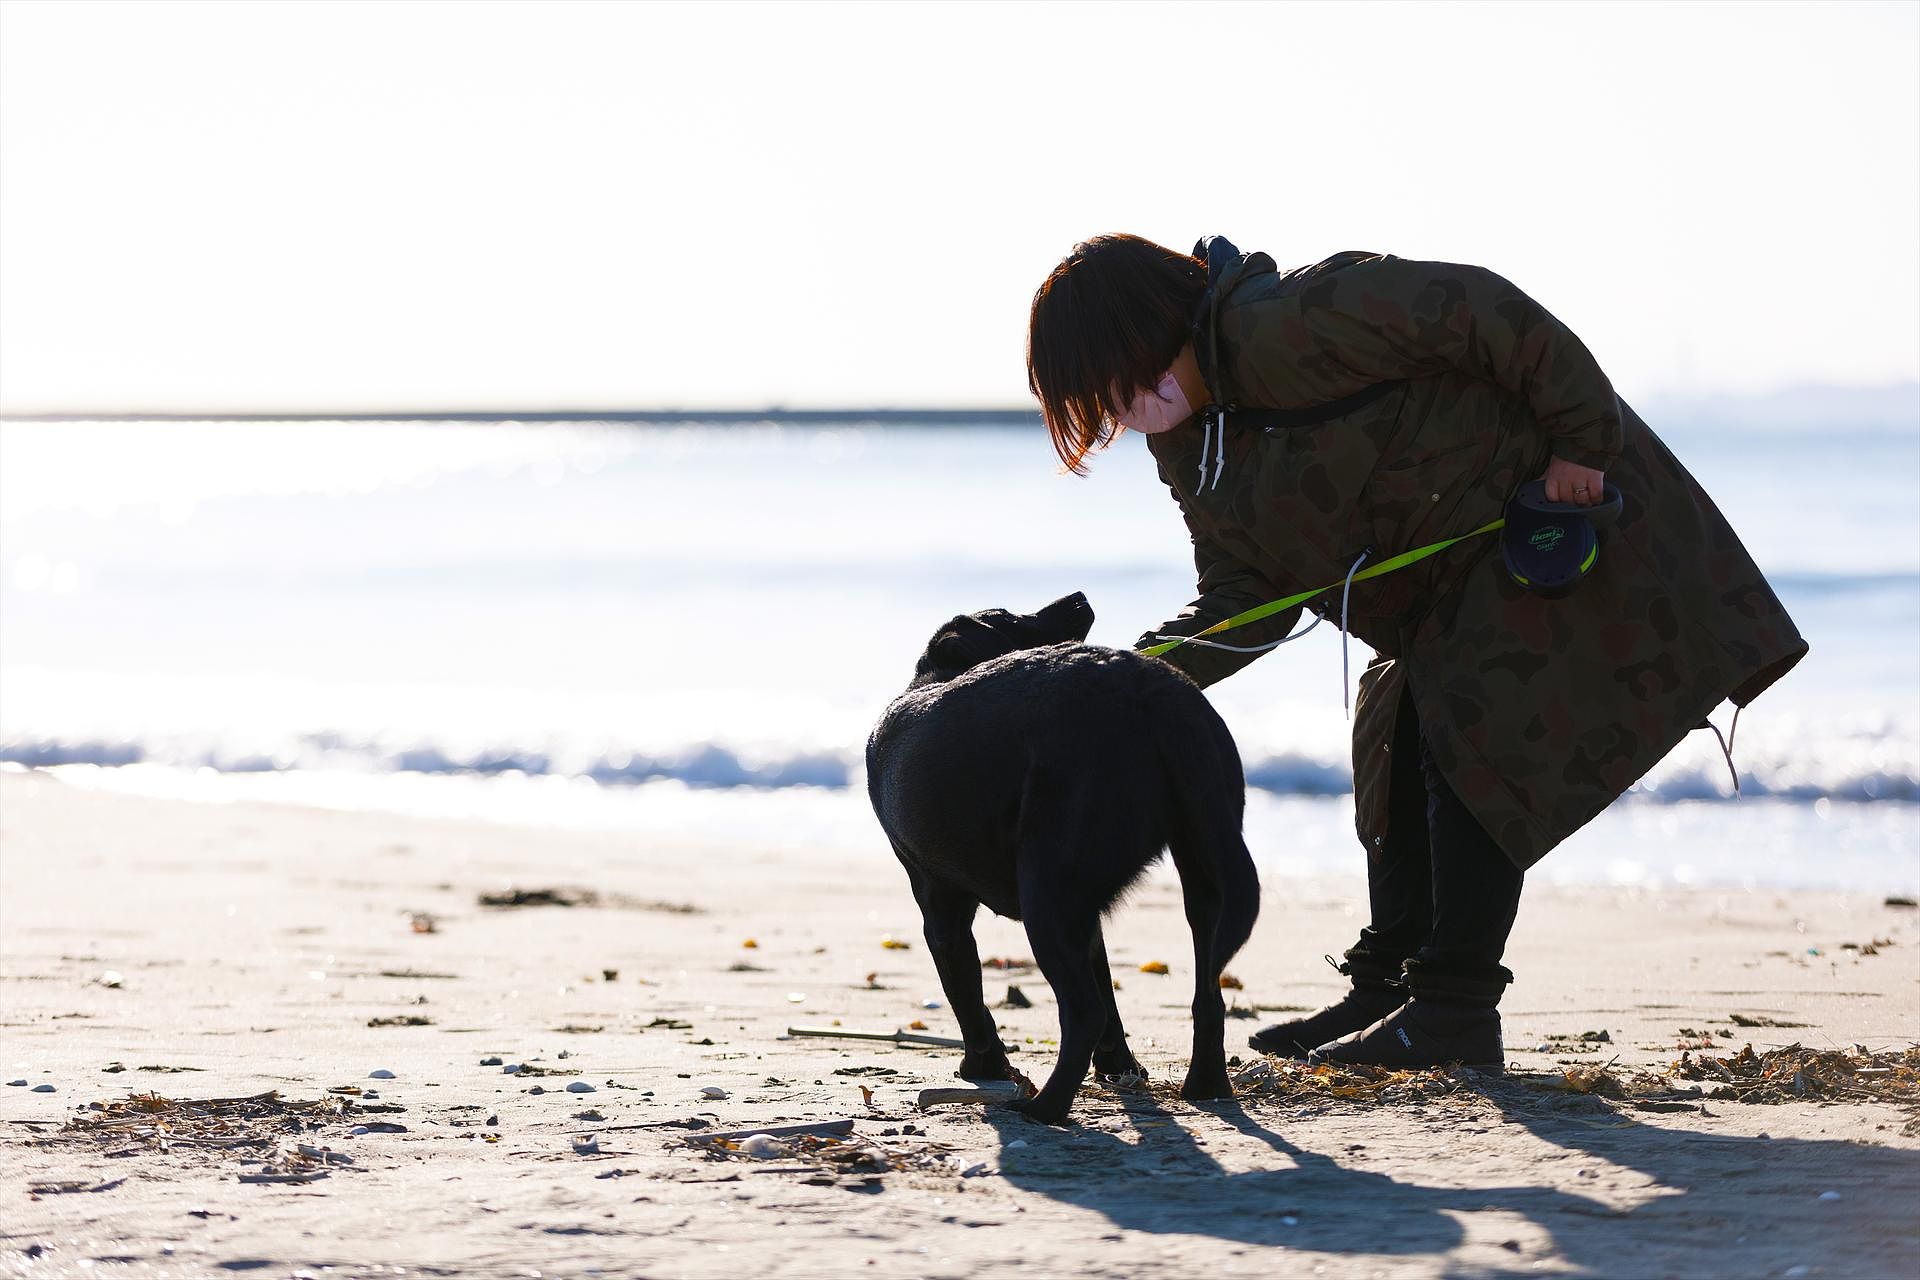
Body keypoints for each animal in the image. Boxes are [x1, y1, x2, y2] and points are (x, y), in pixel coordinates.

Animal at [867, 594, 1259, 1128]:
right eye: (1013, 617)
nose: (1079, 598)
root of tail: (1151, 691)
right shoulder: (1086, 915)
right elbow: (1106, 989)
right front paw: (1119, 1066)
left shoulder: (939, 906)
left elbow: (968, 995)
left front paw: (985, 1066)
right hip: (1203, 866)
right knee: (1206, 995)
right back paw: (1206, 1084)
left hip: (1047, 891)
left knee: (1082, 1011)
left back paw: (1045, 1107)